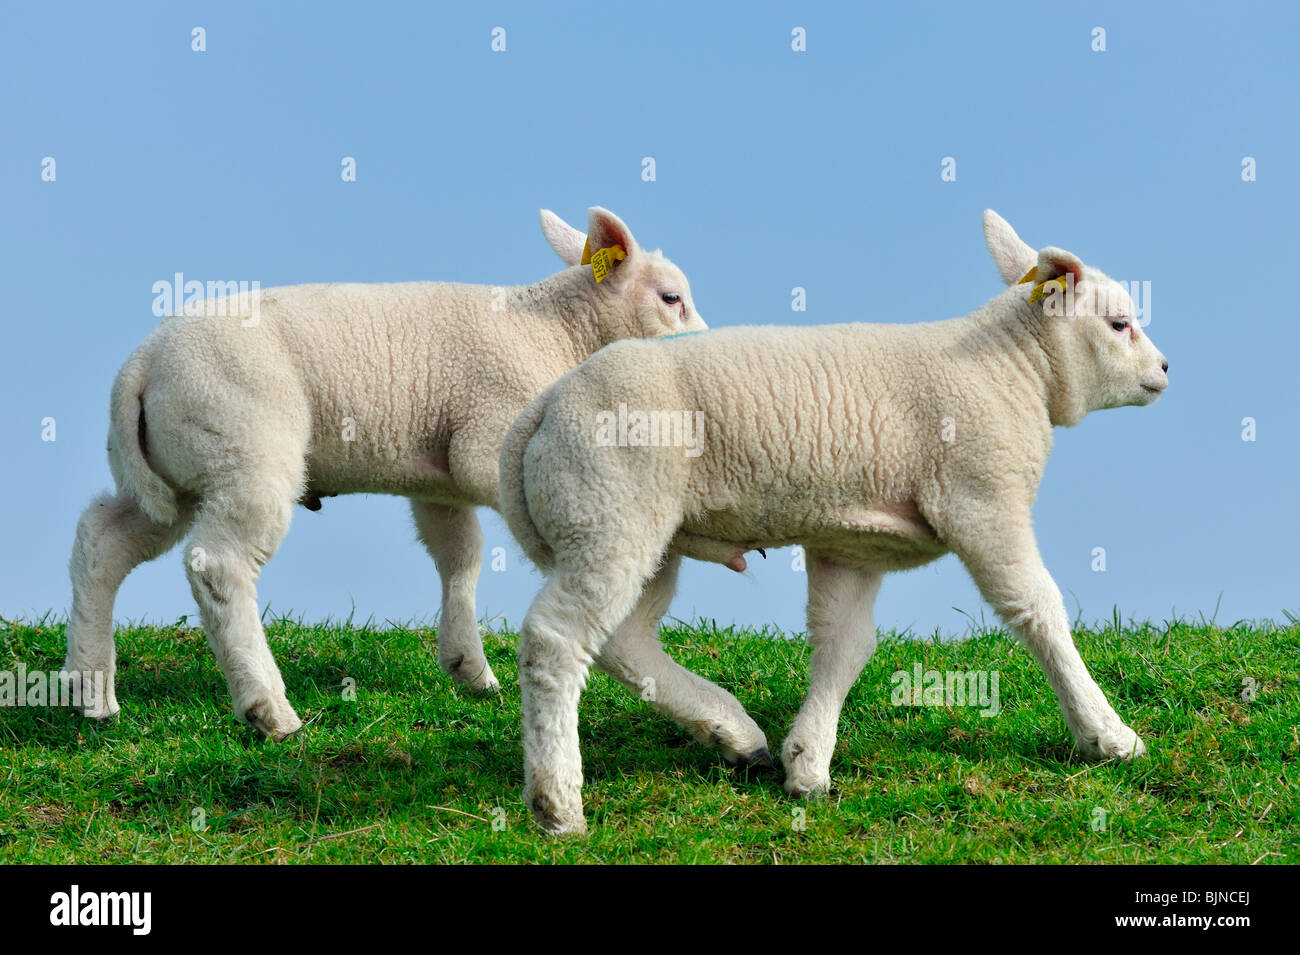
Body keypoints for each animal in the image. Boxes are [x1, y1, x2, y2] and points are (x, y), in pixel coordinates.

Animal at [62, 206, 707, 740]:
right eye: (672, 297)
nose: (705, 349)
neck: (556, 333)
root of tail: (141, 364)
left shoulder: (441, 480)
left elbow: (460, 556)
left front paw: (467, 666)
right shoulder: (484, 440)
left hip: (175, 473)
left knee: (103, 539)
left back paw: (91, 692)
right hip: (246, 451)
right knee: (217, 564)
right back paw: (269, 709)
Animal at [500, 210, 1170, 834]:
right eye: (1119, 324)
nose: (1165, 369)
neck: (1014, 372)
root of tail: (543, 408)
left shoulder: (851, 542)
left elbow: (845, 645)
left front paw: (807, 764)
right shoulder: (983, 501)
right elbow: (1039, 611)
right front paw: (1109, 736)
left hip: (631, 528)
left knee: (625, 638)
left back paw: (733, 733)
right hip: (608, 512)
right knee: (556, 638)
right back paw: (558, 803)